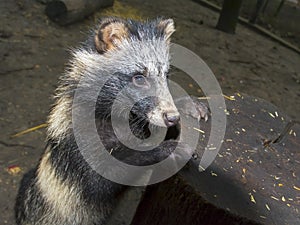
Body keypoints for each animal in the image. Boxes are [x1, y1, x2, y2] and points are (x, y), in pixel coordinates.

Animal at [14, 17, 204, 225]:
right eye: (139, 78)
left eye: (166, 75)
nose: (172, 117)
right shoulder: (77, 141)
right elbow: (104, 178)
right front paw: (163, 149)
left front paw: (185, 103)